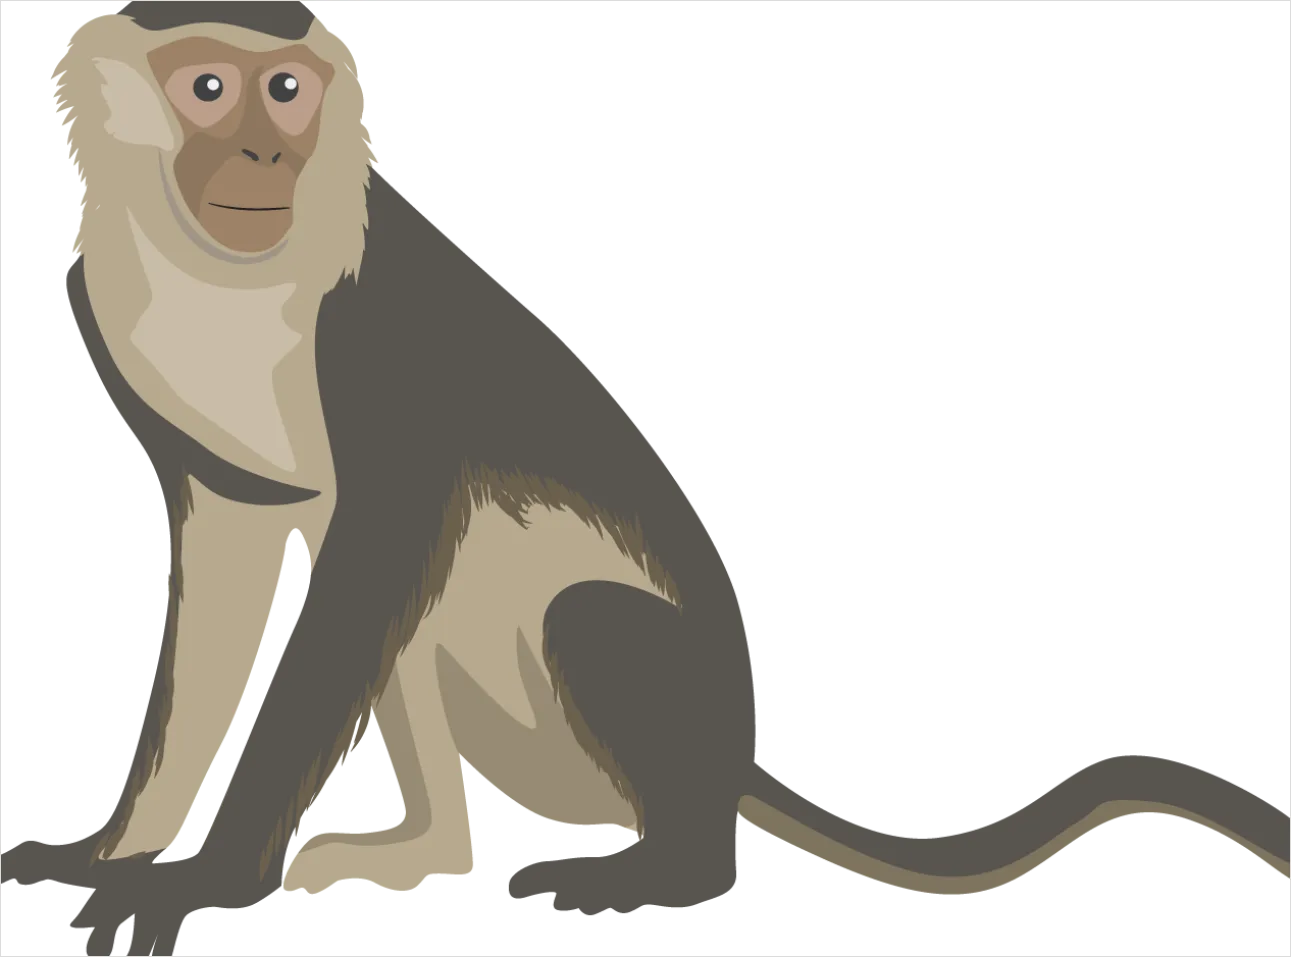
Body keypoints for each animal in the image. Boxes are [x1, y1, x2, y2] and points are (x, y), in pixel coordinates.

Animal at [2, 2, 1287, 951]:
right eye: (208, 90)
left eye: (284, 93)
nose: (268, 154)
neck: (224, 278)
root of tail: (727, 754)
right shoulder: (100, 298)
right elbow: (236, 555)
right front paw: (115, 848)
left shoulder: (373, 326)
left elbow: (382, 536)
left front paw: (202, 882)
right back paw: (425, 851)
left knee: (577, 614)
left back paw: (666, 873)